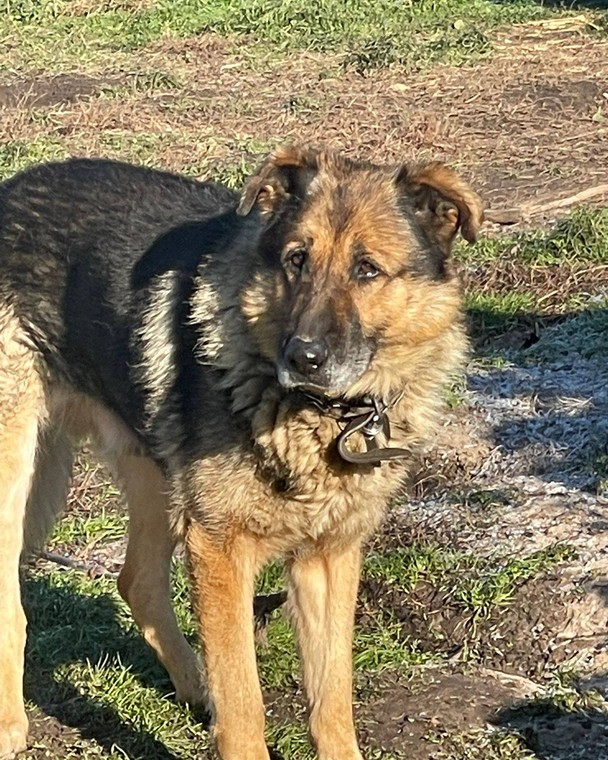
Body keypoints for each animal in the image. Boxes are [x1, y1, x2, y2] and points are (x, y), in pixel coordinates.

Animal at [1, 145, 484, 756]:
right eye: (297, 260)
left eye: (367, 269)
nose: (302, 358)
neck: (323, 415)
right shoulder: (220, 551)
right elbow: (243, 701)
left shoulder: (329, 558)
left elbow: (332, 698)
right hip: (17, 473)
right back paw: (11, 725)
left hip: (153, 472)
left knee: (137, 581)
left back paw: (193, 687)